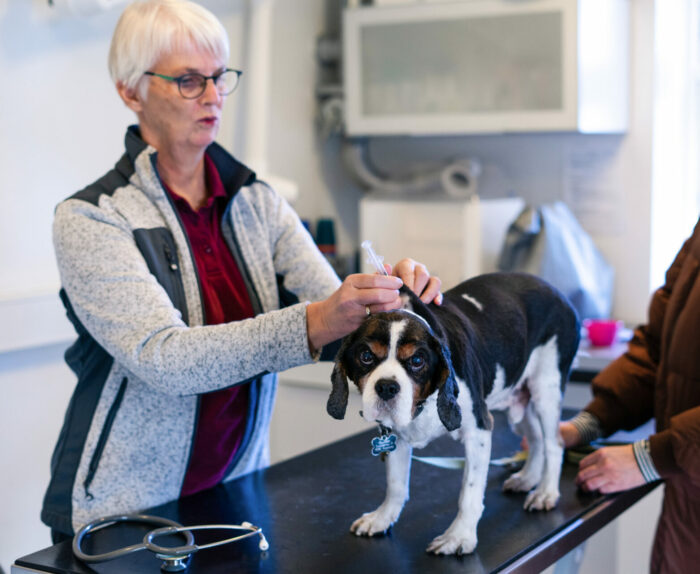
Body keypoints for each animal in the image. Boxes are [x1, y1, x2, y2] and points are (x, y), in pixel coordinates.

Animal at [328, 274, 580, 560]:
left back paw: (546, 492)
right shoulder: (396, 438)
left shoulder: (479, 431)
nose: (387, 387)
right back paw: (528, 478)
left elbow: (469, 493)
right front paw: (382, 518)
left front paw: (459, 537)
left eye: (417, 360)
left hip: (546, 390)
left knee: (553, 444)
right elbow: (395, 485)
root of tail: (557, 292)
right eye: (366, 356)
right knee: (536, 439)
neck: (424, 403)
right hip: (522, 399)